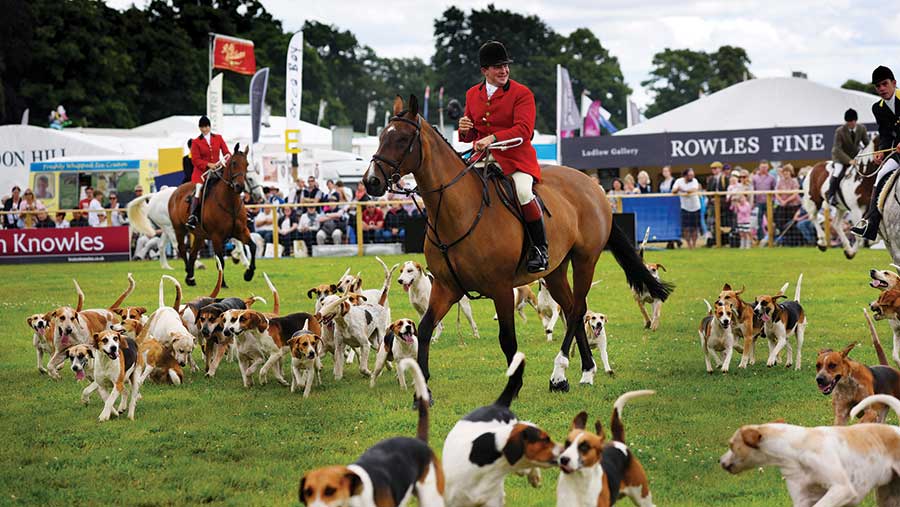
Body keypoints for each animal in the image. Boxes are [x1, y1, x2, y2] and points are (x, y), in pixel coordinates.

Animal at [169, 146, 256, 290]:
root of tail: (176, 191)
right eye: (234, 163)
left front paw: (248, 274)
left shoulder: (241, 231)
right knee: (182, 249)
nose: (239, 187)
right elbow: (220, 261)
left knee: (193, 254)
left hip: (199, 235)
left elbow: (253, 247)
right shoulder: (216, 237)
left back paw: (191, 278)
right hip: (179, 230)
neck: (230, 202)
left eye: (247, 164)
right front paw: (223, 283)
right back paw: (189, 275)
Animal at [362, 97, 672, 394]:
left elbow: (507, 339)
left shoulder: (500, 288)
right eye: (381, 136)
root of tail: (593, 186)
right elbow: (426, 328)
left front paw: (514, 384)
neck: (459, 212)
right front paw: (423, 383)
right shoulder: (446, 286)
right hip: (555, 270)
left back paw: (559, 373)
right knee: (574, 308)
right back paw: (585, 371)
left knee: (576, 310)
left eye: (402, 139)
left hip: (585, 260)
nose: (371, 181)